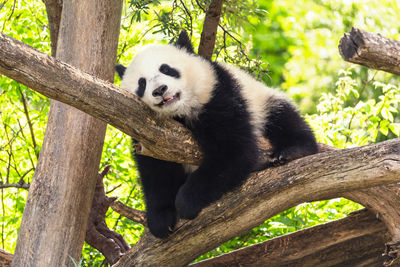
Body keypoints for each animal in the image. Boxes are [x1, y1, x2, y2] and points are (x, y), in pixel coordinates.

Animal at [115, 31, 318, 239]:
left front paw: (186, 201)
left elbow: (233, 152)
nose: (160, 90)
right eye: (142, 83)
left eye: (167, 69)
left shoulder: (217, 95)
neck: (180, 113)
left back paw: (291, 151)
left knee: (284, 118)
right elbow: (156, 171)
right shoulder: (147, 131)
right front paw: (161, 220)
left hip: (262, 101)